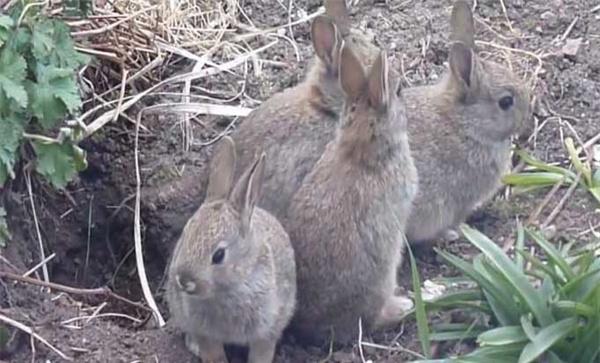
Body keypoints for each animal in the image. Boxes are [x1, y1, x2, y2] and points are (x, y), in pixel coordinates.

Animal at [165, 137, 296, 363]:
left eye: (219, 255)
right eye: (185, 235)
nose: (184, 280)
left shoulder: (268, 326)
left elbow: (261, 352)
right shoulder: (203, 330)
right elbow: (213, 352)